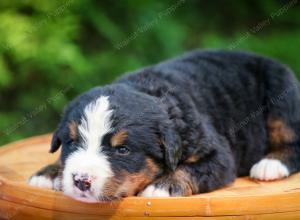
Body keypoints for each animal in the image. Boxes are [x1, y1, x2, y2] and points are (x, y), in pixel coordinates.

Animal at [28, 49, 300, 202]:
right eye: (72, 142)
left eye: (122, 150)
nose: (81, 181)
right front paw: (49, 173)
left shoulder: (219, 156)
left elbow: (191, 170)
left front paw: (163, 186)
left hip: (281, 94)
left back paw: (270, 165)